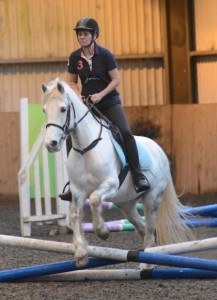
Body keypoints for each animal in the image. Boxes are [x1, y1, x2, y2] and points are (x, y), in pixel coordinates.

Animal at [41, 78, 194, 268]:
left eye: (63, 109)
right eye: (44, 110)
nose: (51, 144)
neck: (86, 148)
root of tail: (159, 150)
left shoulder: (110, 184)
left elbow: (94, 199)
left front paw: (102, 231)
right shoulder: (77, 191)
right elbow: (75, 214)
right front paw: (81, 253)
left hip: (151, 199)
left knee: (150, 229)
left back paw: (146, 264)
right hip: (126, 204)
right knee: (143, 229)